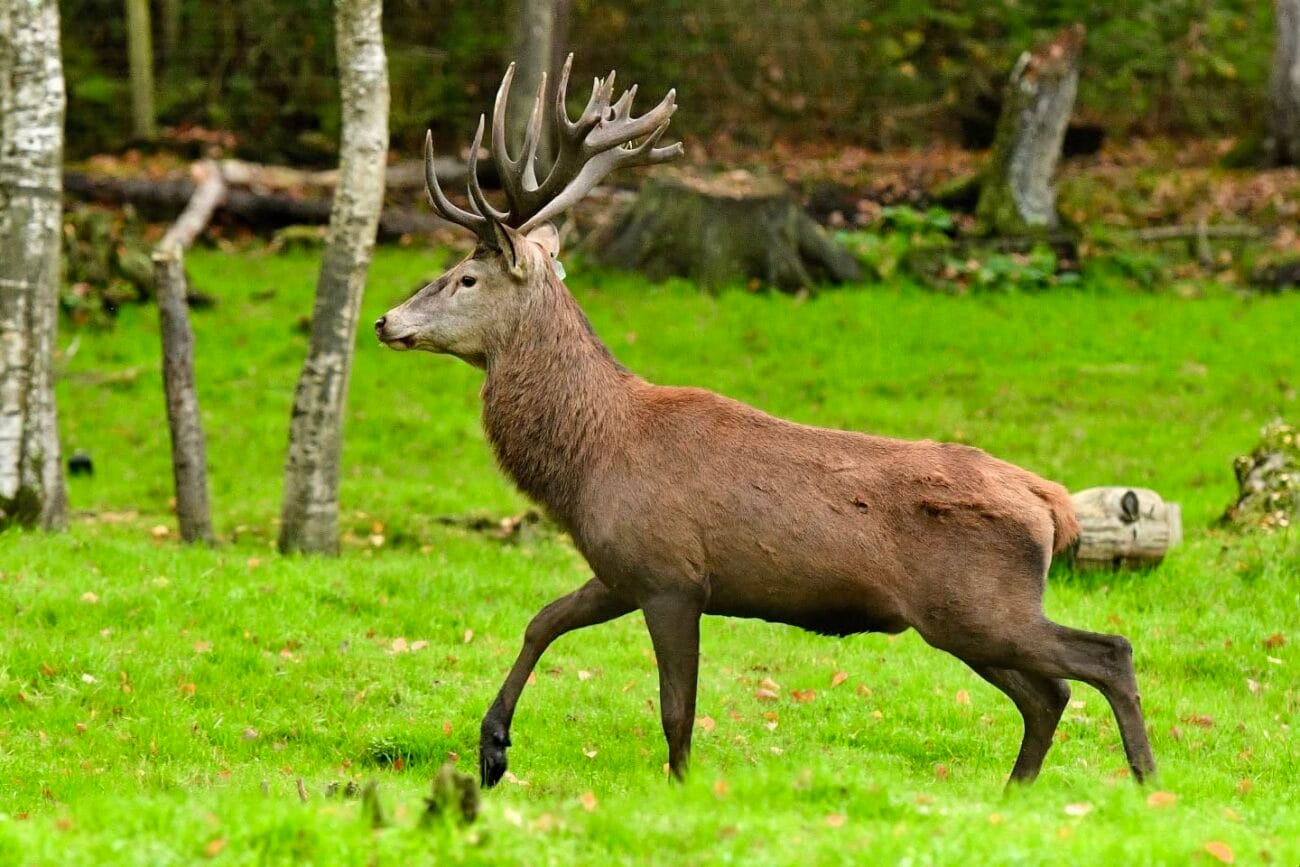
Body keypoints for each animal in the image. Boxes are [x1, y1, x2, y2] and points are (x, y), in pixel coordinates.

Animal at [374, 55, 1157, 790]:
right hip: (965, 618)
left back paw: (1146, 781)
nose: (385, 321)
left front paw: (681, 787)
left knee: (1104, 654)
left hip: (976, 604)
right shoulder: (623, 570)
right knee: (1048, 694)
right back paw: (1019, 791)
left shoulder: (671, 576)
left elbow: (677, 708)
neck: (588, 462)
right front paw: (492, 747)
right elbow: (542, 618)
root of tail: (1052, 505)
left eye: (466, 277)